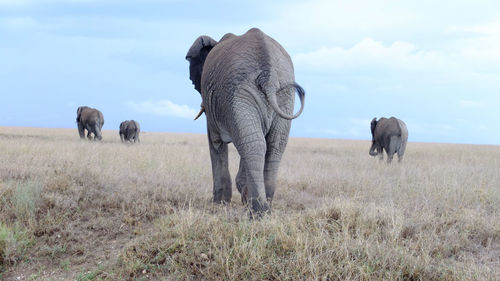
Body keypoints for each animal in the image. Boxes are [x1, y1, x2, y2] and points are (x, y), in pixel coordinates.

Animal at [186, 27, 304, 217]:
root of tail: (268, 74)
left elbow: (216, 143)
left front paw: (219, 203)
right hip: (281, 95)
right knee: (269, 145)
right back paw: (264, 208)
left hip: (238, 92)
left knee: (255, 144)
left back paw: (257, 212)